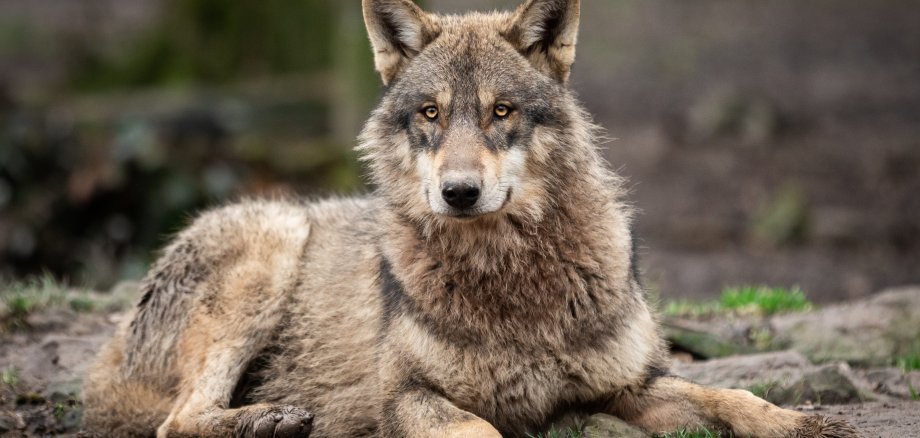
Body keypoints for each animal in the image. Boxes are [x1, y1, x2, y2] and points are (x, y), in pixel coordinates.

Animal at [82, 0, 860, 436]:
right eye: (430, 114)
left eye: (501, 111)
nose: (459, 192)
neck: (513, 282)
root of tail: (105, 361)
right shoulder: (407, 399)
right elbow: (480, 430)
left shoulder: (630, 386)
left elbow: (731, 394)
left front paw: (802, 422)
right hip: (274, 242)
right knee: (177, 423)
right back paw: (270, 420)